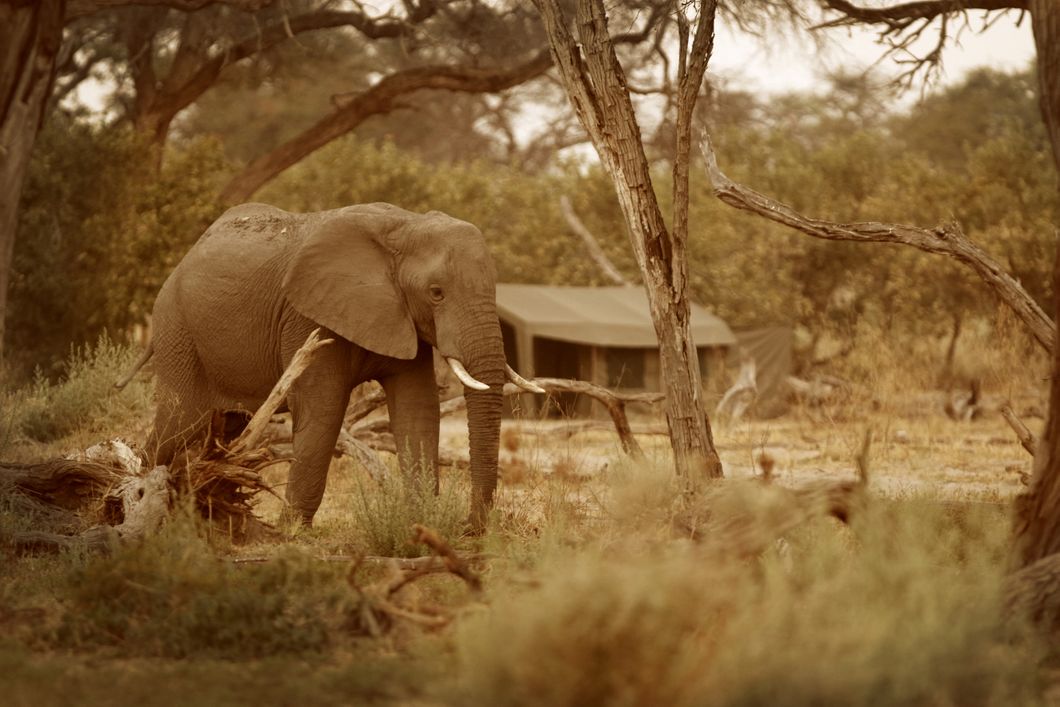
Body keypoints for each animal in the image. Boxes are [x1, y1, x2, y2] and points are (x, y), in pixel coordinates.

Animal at [122, 201, 541, 529]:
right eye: (436, 293)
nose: (472, 525)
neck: (405, 226)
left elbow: (417, 408)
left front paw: (423, 520)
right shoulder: (307, 317)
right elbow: (323, 408)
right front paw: (291, 532)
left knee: (222, 426)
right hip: (177, 328)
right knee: (180, 421)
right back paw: (131, 496)